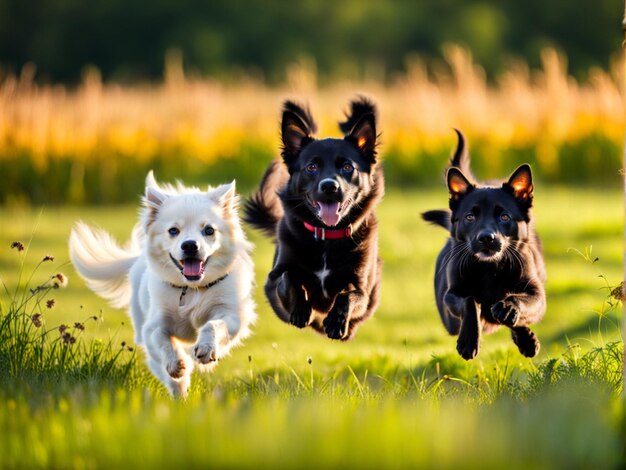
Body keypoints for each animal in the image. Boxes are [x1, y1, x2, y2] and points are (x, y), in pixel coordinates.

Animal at [72, 173, 256, 396]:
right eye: (173, 231)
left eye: (209, 230)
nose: (190, 245)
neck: (191, 289)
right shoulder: (153, 325)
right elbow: (162, 340)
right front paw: (176, 364)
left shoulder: (231, 314)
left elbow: (212, 325)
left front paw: (205, 349)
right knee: (159, 366)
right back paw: (180, 391)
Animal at [243, 99, 380, 340]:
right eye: (311, 167)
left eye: (347, 167)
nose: (329, 186)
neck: (327, 235)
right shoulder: (273, 280)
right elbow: (289, 278)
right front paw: (300, 310)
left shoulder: (362, 288)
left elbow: (348, 296)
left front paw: (335, 323)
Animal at [422, 131, 544, 360]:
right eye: (470, 217)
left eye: (504, 216)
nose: (486, 238)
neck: (490, 269)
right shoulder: (451, 295)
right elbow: (470, 301)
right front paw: (468, 341)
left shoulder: (537, 295)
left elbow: (518, 301)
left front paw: (513, 318)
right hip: (449, 321)